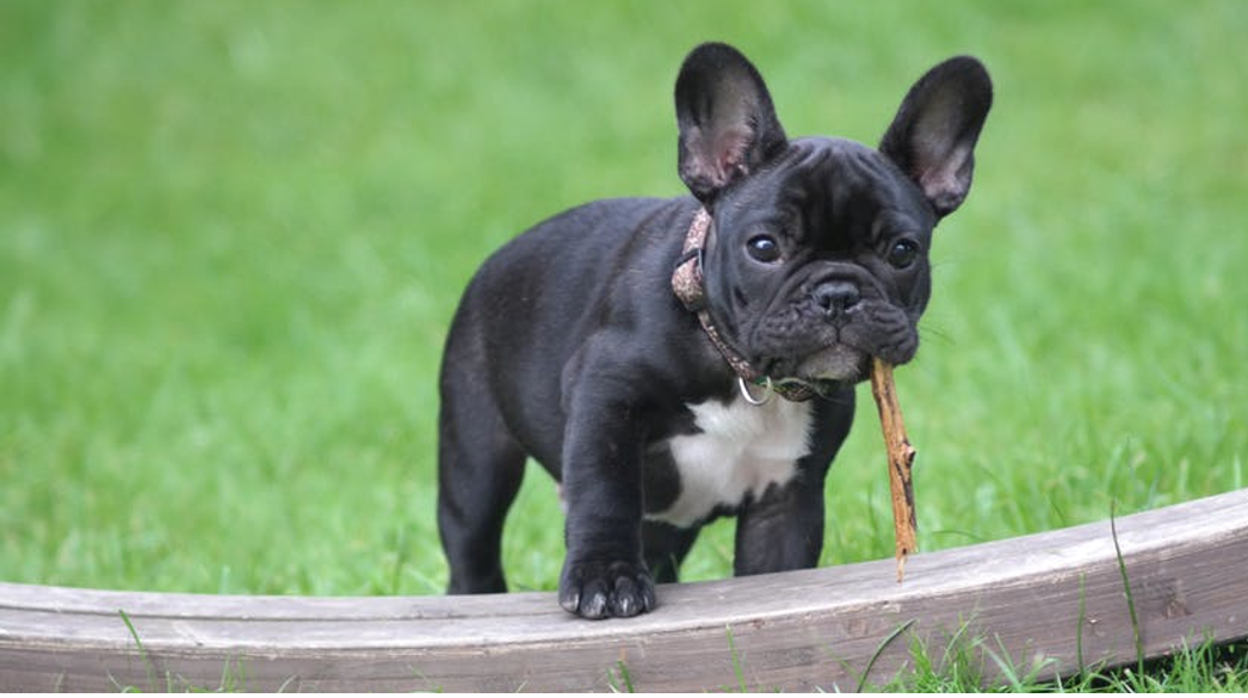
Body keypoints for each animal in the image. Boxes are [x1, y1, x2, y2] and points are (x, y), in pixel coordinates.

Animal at [439, 43, 993, 619]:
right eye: (764, 247)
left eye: (903, 252)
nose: (837, 293)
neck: (740, 369)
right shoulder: (603, 398)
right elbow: (604, 491)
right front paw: (606, 577)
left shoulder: (786, 499)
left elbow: (778, 569)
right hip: (476, 456)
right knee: (473, 541)